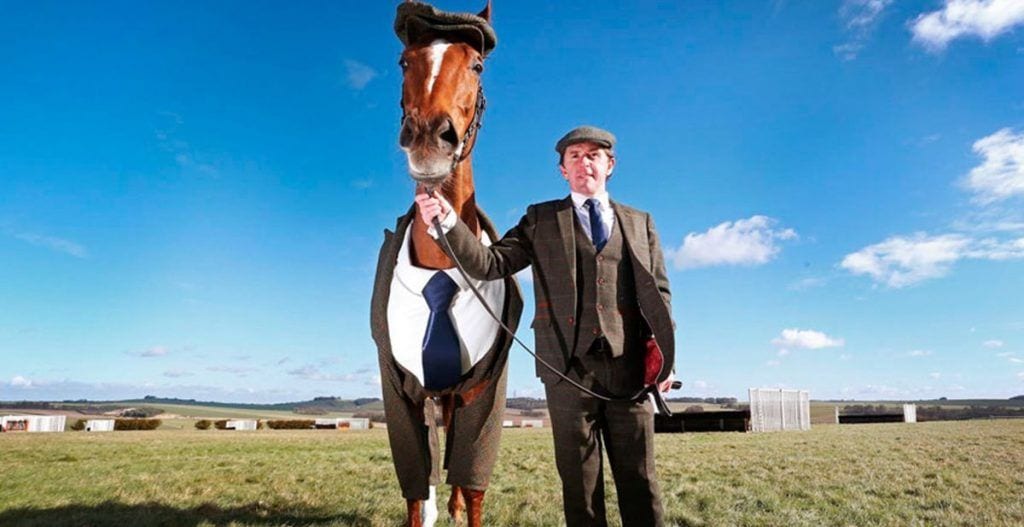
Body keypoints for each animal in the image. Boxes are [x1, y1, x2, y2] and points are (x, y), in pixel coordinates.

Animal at [370, 2, 522, 527]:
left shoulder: (483, 390)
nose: (428, 139)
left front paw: (460, 504)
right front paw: (429, 506)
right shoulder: (401, 390)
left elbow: (472, 481)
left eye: (476, 65)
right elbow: (416, 486)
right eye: (404, 62)